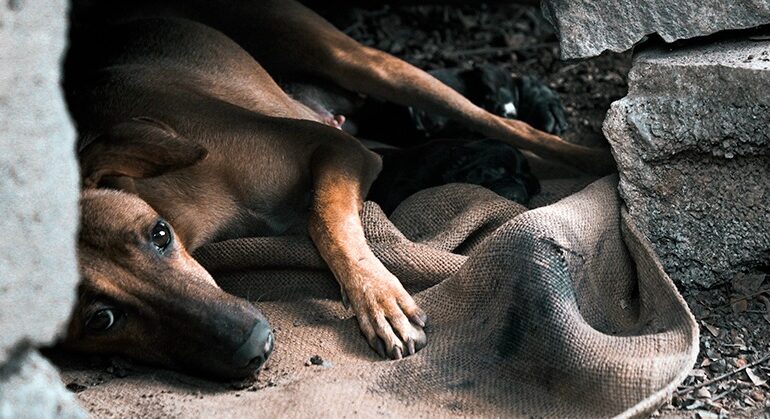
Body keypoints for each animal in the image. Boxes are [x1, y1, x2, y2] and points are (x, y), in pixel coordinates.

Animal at [61, 0, 612, 380]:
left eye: (159, 236)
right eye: (101, 320)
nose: (254, 345)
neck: (185, 207)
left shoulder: (337, 149)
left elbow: (324, 218)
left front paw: (378, 298)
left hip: (358, 60)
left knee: (506, 126)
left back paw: (596, 159)